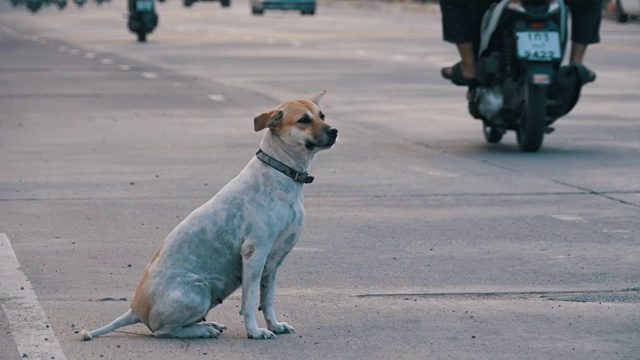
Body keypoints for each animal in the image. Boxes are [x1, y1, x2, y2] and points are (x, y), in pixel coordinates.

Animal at [82, 93, 338, 340]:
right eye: (303, 120)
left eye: (322, 115)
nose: (334, 131)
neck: (280, 172)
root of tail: (134, 309)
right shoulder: (254, 254)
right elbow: (249, 302)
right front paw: (255, 332)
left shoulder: (273, 262)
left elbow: (267, 300)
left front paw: (274, 325)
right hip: (199, 290)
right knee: (163, 331)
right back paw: (202, 330)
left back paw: (207, 324)